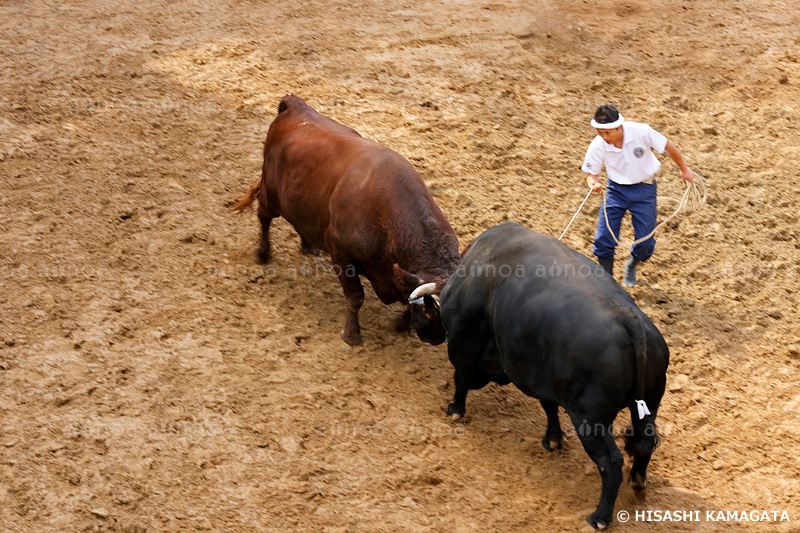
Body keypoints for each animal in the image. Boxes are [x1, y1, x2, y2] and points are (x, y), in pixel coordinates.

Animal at [228, 95, 460, 344]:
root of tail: (295, 105)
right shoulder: (341, 254)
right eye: (428, 309)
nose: (435, 338)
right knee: (263, 216)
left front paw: (399, 323)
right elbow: (355, 297)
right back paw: (263, 252)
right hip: (271, 196)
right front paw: (352, 334)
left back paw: (308, 245)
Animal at [438, 221, 668, 528]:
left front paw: (455, 409)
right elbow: (548, 406)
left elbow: (460, 379)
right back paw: (638, 483)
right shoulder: (541, 378)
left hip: (590, 421)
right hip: (648, 405)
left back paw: (600, 516)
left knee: (611, 462)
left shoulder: (463, 346)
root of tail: (628, 320)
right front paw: (553, 439)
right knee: (644, 443)